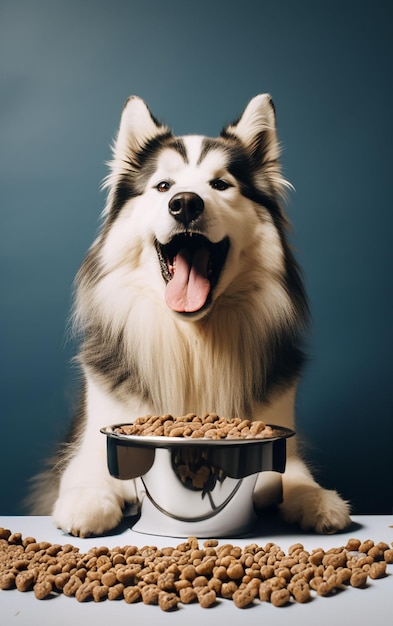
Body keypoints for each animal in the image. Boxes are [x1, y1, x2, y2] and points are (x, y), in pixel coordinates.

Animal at [29, 95, 350, 532]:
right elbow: (90, 473)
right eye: (163, 186)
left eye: (220, 185)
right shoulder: (92, 442)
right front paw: (87, 502)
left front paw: (316, 500)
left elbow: (290, 476)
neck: (192, 340)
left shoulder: (281, 434)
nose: (184, 203)